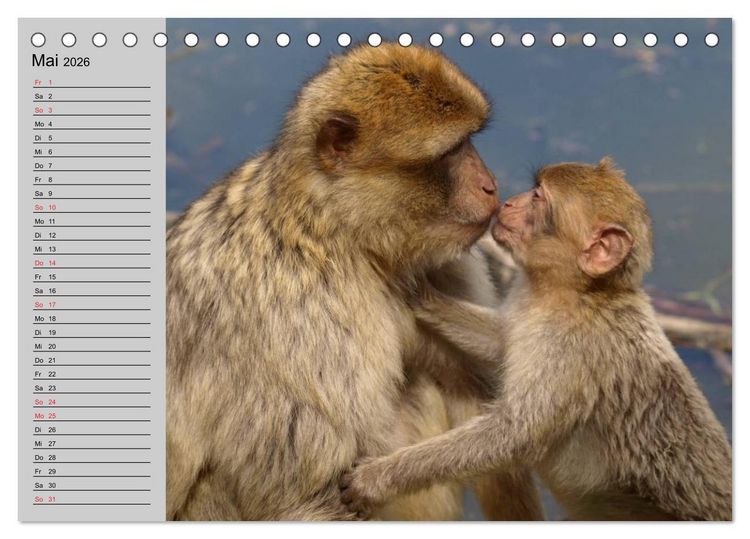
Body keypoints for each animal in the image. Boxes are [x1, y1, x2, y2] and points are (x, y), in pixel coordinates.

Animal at [166, 42, 542, 520]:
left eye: (470, 142)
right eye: (452, 151)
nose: (490, 186)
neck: (336, 232)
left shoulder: (441, 267)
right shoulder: (305, 319)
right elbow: (307, 493)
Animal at [339, 158, 733, 521]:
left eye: (539, 197)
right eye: (534, 188)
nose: (508, 201)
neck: (574, 293)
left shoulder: (569, 349)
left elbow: (514, 434)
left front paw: (379, 478)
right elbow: (501, 342)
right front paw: (419, 292)